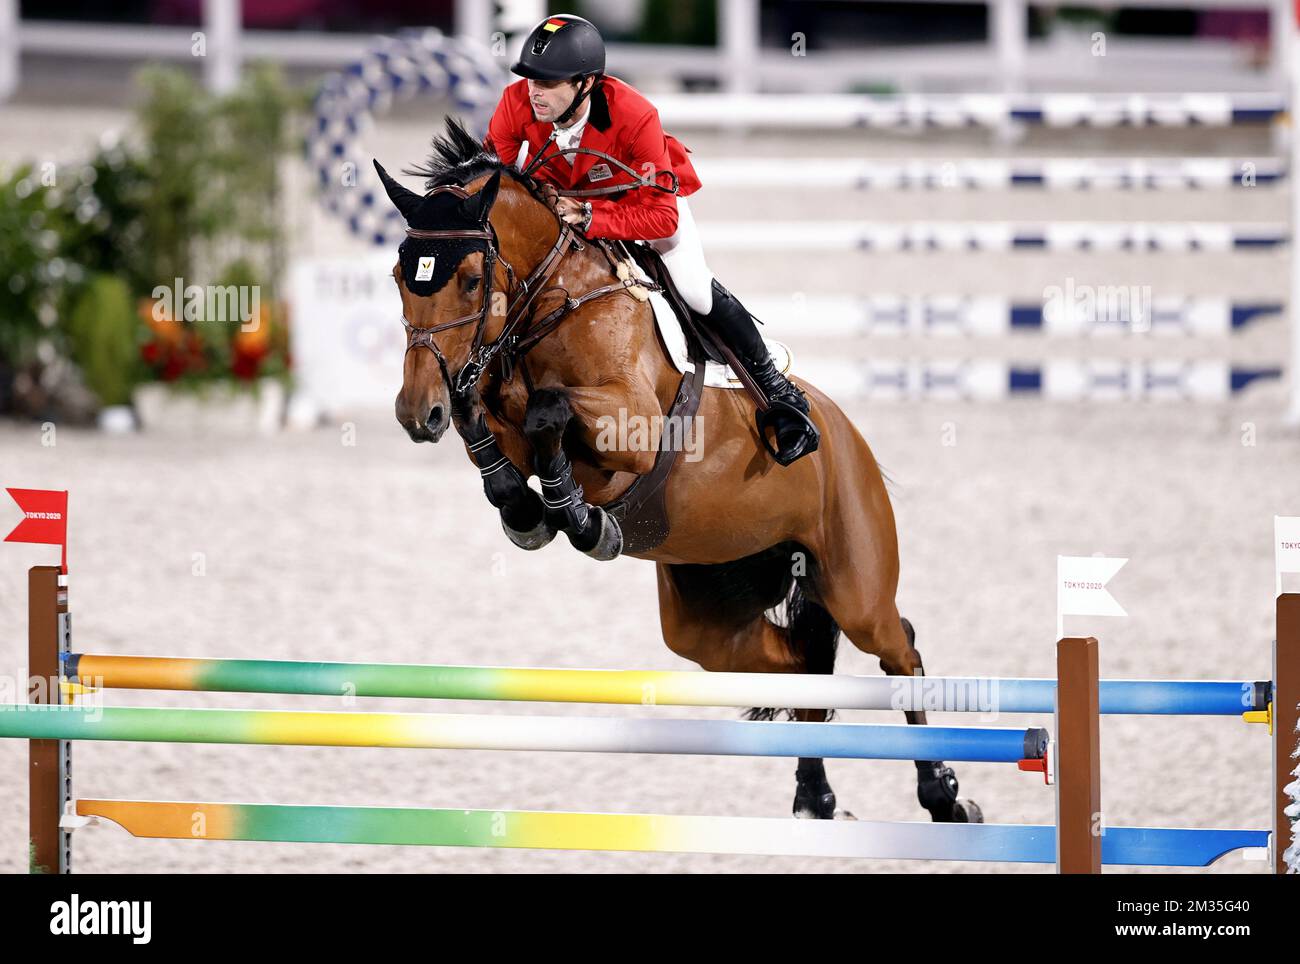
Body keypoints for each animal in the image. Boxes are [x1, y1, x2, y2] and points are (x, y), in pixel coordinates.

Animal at [371, 118, 977, 821]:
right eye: (400, 275)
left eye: (469, 279)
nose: (417, 412)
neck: (554, 300)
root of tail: (846, 433)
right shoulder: (493, 402)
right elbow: (485, 424)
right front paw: (528, 512)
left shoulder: (629, 429)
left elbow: (549, 412)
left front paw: (581, 520)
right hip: (710, 615)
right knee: (803, 669)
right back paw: (816, 797)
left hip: (855, 579)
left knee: (897, 648)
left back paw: (945, 797)